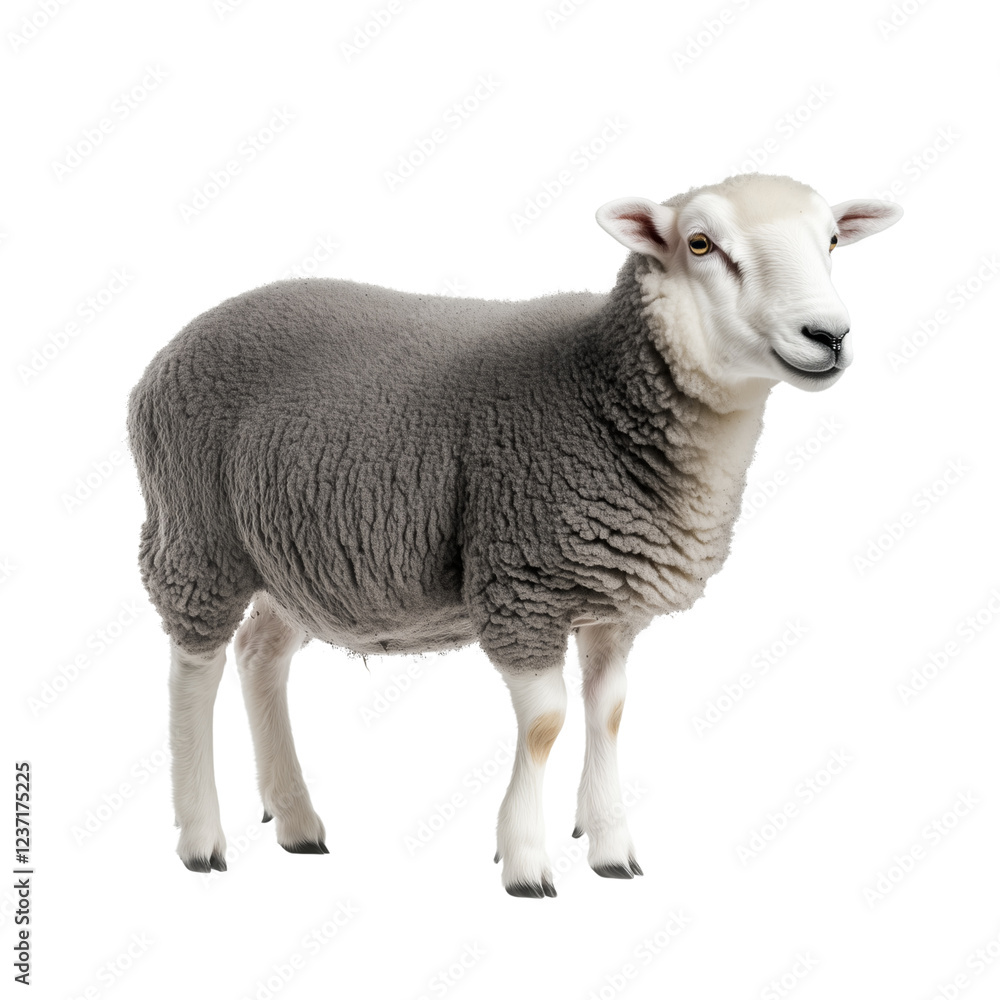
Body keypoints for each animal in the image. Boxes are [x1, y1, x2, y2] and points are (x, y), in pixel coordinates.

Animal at [127, 172, 901, 897]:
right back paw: (200, 836)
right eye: (702, 243)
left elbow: (608, 712)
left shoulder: (614, 600)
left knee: (260, 655)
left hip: (290, 558)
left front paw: (612, 850)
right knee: (194, 666)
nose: (828, 335)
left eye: (833, 239)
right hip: (196, 532)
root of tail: (171, 349)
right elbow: (547, 723)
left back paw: (295, 821)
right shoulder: (520, 581)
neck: (596, 385)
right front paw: (526, 861)